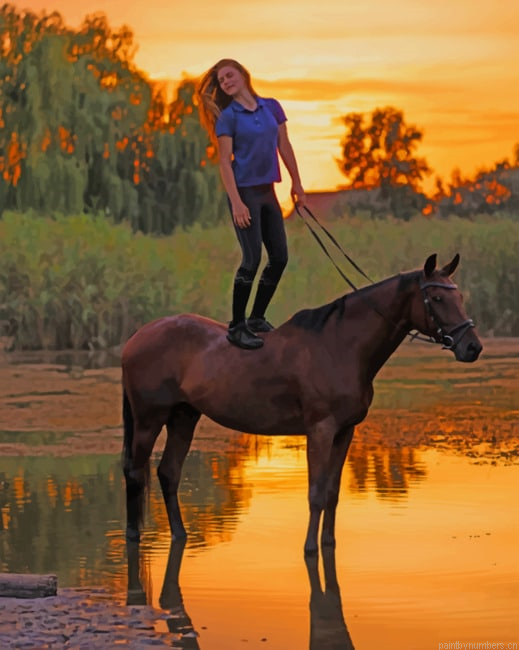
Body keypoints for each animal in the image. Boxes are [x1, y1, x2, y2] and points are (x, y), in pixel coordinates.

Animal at [121, 253, 482, 555]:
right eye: (437, 298)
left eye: (460, 297)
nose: (472, 347)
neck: (339, 345)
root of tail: (135, 338)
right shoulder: (320, 430)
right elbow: (315, 492)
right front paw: (310, 548)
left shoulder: (345, 432)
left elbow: (332, 493)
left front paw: (329, 543)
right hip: (149, 420)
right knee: (135, 473)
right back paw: (133, 536)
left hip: (184, 417)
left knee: (168, 473)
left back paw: (180, 536)